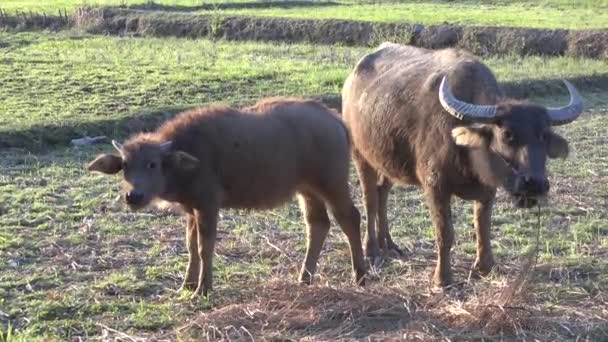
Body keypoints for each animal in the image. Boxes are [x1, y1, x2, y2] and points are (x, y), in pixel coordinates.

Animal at [87, 97, 364, 298]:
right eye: (125, 164)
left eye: (152, 164)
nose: (133, 196)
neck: (187, 156)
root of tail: (335, 119)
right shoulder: (191, 210)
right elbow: (190, 246)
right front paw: (186, 285)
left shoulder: (208, 205)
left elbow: (204, 247)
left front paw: (203, 289)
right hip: (307, 190)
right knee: (317, 225)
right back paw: (305, 278)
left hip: (333, 184)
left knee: (350, 218)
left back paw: (359, 276)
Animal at [342, 43, 584, 288]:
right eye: (507, 134)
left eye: (543, 135)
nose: (534, 184)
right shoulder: (435, 187)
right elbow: (445, 233)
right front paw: (442, 278)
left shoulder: (488, 190)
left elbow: (482, 227)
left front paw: (485, 267)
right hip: (360, 156)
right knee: (370, 200)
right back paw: (371, 250)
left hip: (389, 161)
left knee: (382, 191)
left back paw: (389, 244)